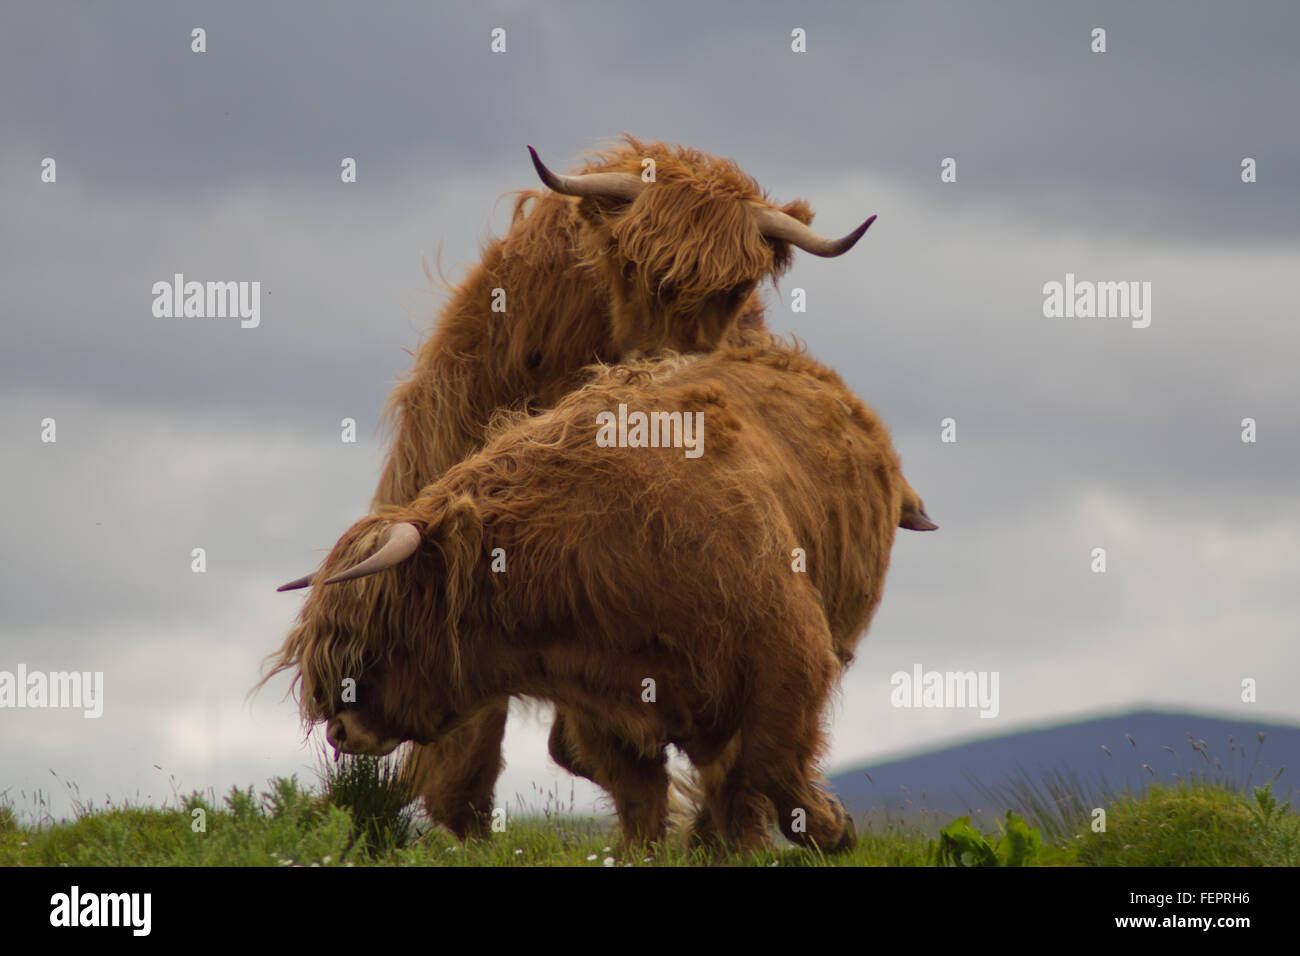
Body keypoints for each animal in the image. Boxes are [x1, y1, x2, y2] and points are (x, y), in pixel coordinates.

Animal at [266, 340, 935, 848]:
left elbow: (766, 762)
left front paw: (834, 829)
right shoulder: (599, 710)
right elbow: (643, 802)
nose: (339, 731)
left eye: (379, 635)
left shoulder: (786, 653)